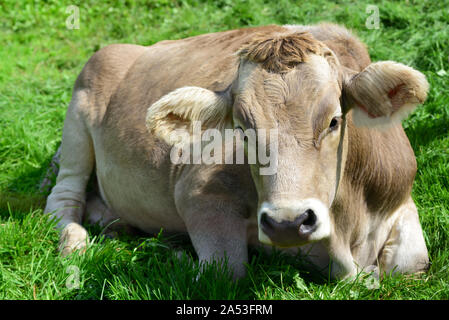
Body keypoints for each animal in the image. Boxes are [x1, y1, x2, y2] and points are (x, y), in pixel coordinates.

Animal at [45, 23, 430, 280]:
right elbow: (225, 270)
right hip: (79, 115)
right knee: (62, 199)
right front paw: (177, 256)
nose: (287, 222)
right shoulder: (198, 191)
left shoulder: (399, 200)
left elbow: (412, 263)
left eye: (334, 121)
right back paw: (75, 242)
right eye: (242, 130)